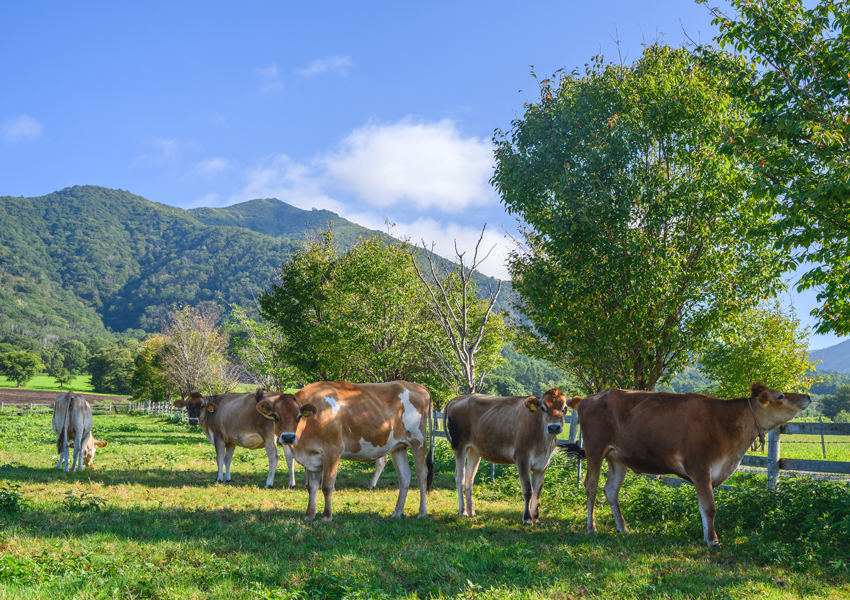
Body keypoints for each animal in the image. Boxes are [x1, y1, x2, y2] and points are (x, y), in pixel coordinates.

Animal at [255, 382, 430, 524]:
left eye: (298, 417)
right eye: (275, 416)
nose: (288, 437)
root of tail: (418, 387)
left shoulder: (333, 451)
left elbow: (327, 485)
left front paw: (327, 517)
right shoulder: (311, 458)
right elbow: (312, 487)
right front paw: (309, 515)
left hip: (418, 441)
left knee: (422, 475)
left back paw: (422, 513)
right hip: (398, 447)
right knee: (405, 476)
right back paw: (397, 513)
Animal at [440, 390, 568, 524]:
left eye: (565, 408)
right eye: (543, 408)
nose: (553, 427)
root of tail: (460, 398)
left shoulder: (543, 464)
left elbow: (537, 492)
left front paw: (535, 518)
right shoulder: (522, 459)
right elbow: (528, 490)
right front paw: (527, 519)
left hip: (474, 449)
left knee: (469, 478)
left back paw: (472, 512)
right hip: (459, 445)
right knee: (459, 477)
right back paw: (462, 511)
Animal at [568, 382, 812, 548]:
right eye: (780, 396)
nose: (807, 396)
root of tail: (590, 397)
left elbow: (705, 507)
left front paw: (707, 536)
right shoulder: (699, 467)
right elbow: (710, 507)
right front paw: (713, 540)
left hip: (617, 458)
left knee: (611, 490)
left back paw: (623, 528)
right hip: (594, 450)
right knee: (590, 486)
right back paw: (591, 527)